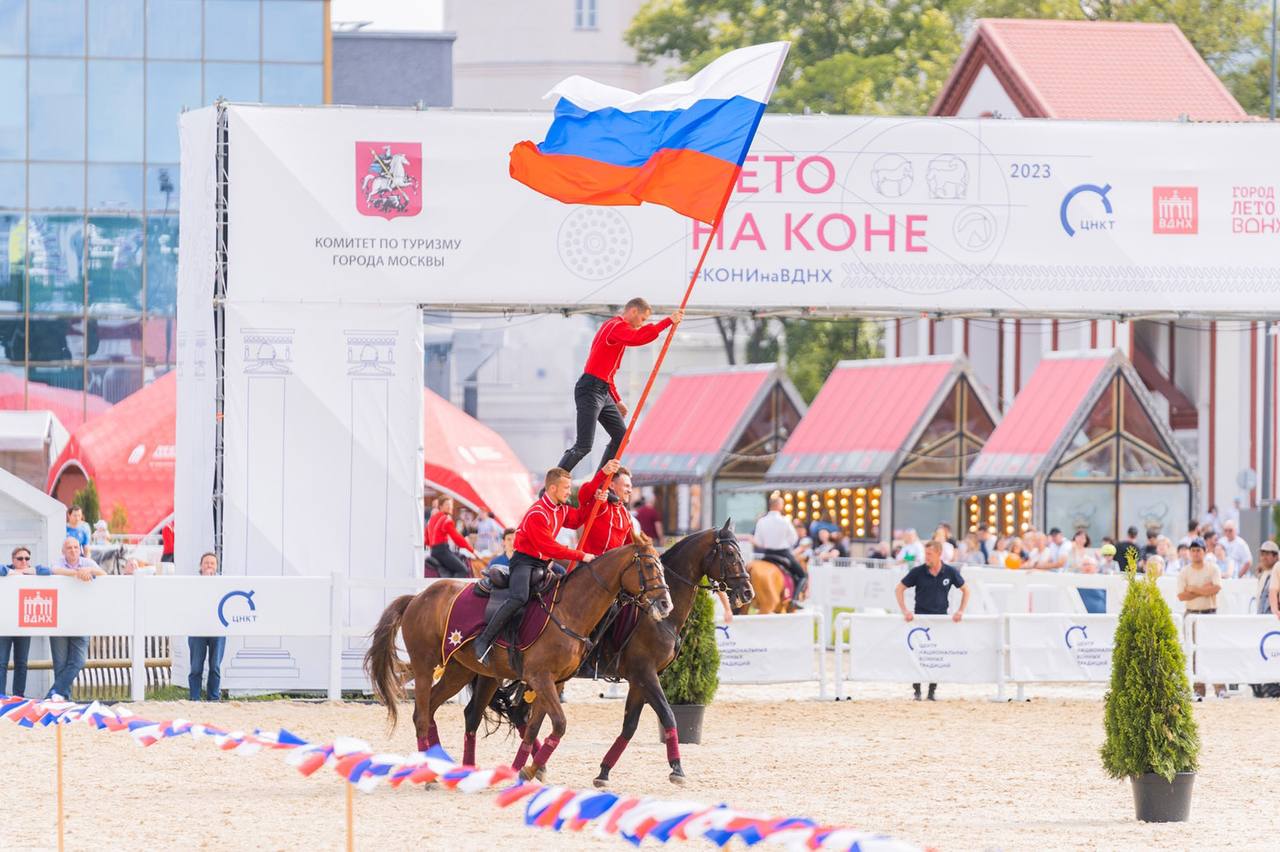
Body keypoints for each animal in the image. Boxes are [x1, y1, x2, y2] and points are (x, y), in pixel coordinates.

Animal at [363, 539, 670, 777]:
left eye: (662, 566)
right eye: (649, 566)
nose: (666, 604)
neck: (570, 610)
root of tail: (417, 597)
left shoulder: (555, 683)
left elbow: (534, 729)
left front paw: (523, 771)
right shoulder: (540, 678)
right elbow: (559, 724)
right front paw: (529, 770)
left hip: (458, 672)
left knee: (431, 710)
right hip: (426, 667)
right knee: (421, 716)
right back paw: (429, 774)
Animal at [471, 521, 752, 788]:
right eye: (729, 553)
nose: (748, 591)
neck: (658, 619)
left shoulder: (640, 680)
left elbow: (630, 726)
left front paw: (604, 772)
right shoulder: (645, 673)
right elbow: (667, 715)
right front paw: (677, 769)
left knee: (519, 713)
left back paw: (535, 768)